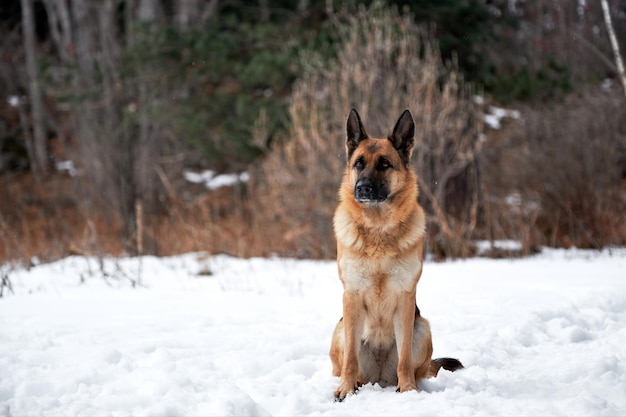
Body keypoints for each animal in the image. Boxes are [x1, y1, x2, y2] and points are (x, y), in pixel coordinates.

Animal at [330, 109, 460, 400]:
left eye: (385, 164)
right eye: (359, 164)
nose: (363, 188)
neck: (378, 228)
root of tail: (379, 377)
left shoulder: (405, 297)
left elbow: (405, 360)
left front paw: (409, 390)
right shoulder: (351, 296)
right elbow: (351, 359)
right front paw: (345, 389)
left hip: (422, 328)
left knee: (411, 363)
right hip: (341, 329)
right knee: (348, 363)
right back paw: (354, 382)